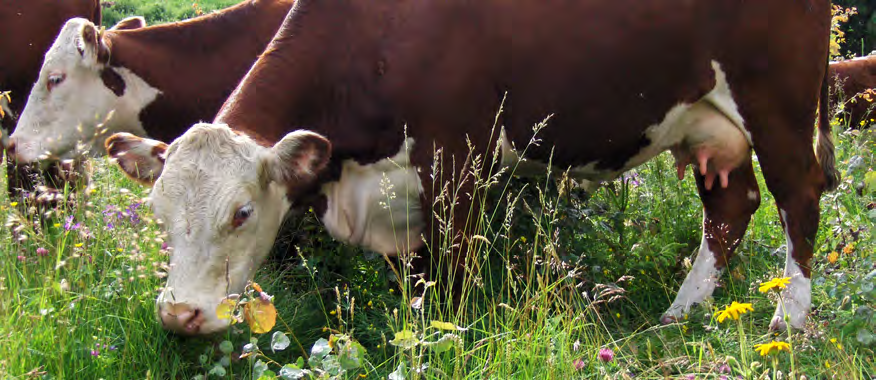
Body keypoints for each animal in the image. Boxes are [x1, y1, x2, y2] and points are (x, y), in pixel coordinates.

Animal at [108, 0, 836, 334]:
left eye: (242, 213)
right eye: (159, 214)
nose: (180, 315)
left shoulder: (458, 157)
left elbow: (453, 267)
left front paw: (449, 333)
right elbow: (413, 274)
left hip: (777, 97)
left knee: (798, 196)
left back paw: (789, 318)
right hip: (706, 121)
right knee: (732, 206)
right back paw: (681, 313)